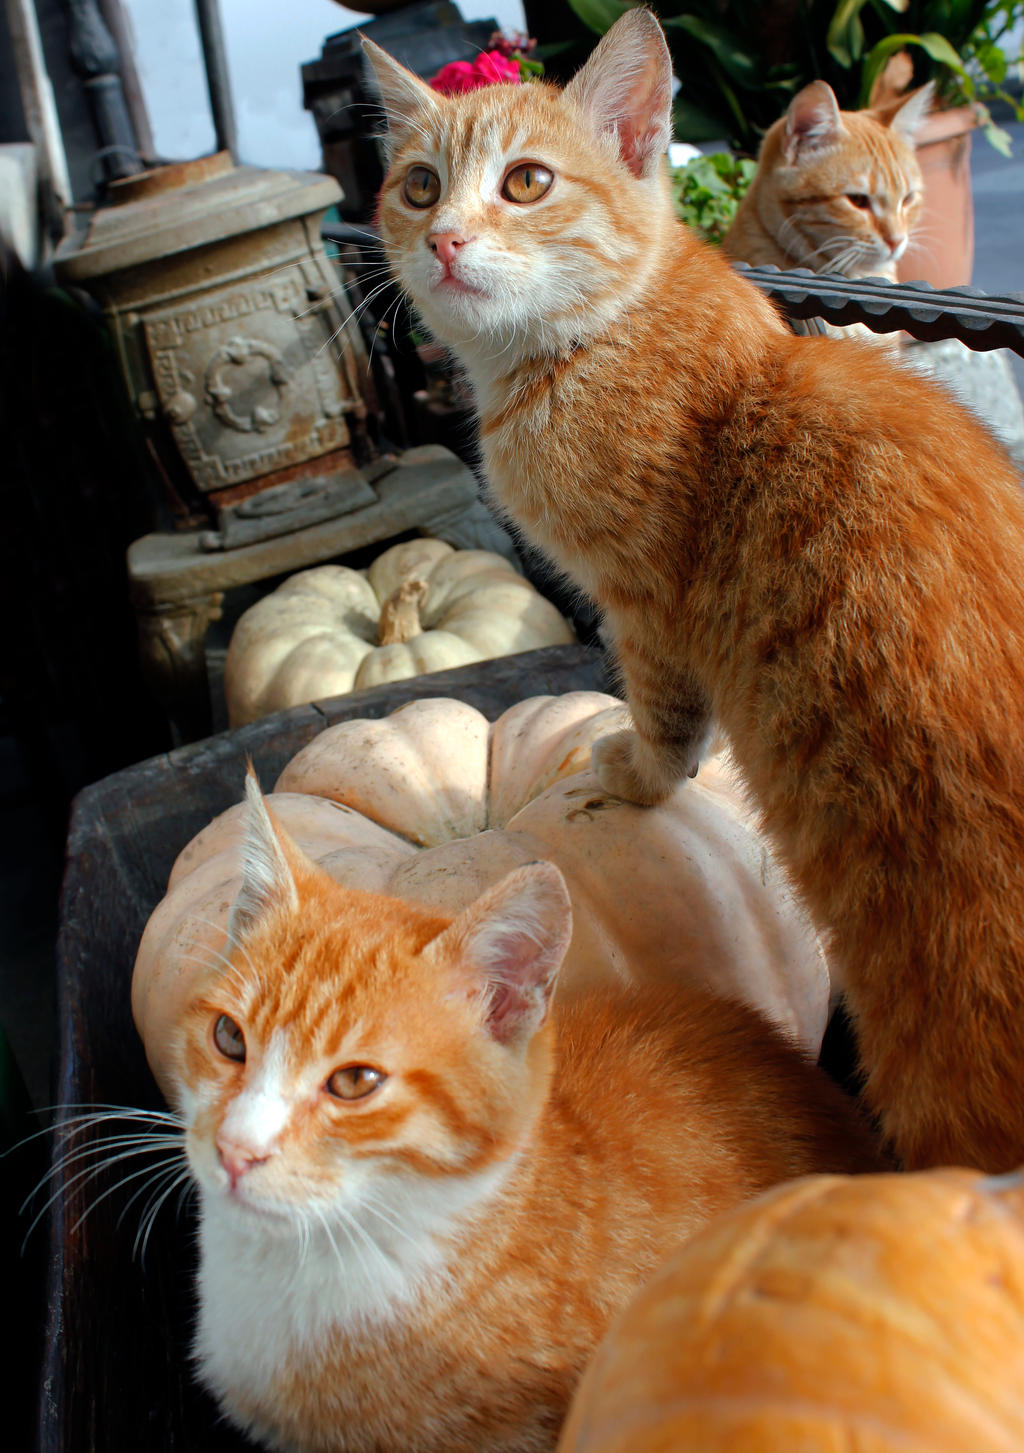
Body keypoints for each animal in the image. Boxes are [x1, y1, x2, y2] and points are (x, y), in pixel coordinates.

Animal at [366, 5, 1022, 1174]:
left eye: (525, 182)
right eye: (417, 186)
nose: (440, 241)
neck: (596, 340)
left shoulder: (648, 608)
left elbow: (667, 716)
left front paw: (635, 773)